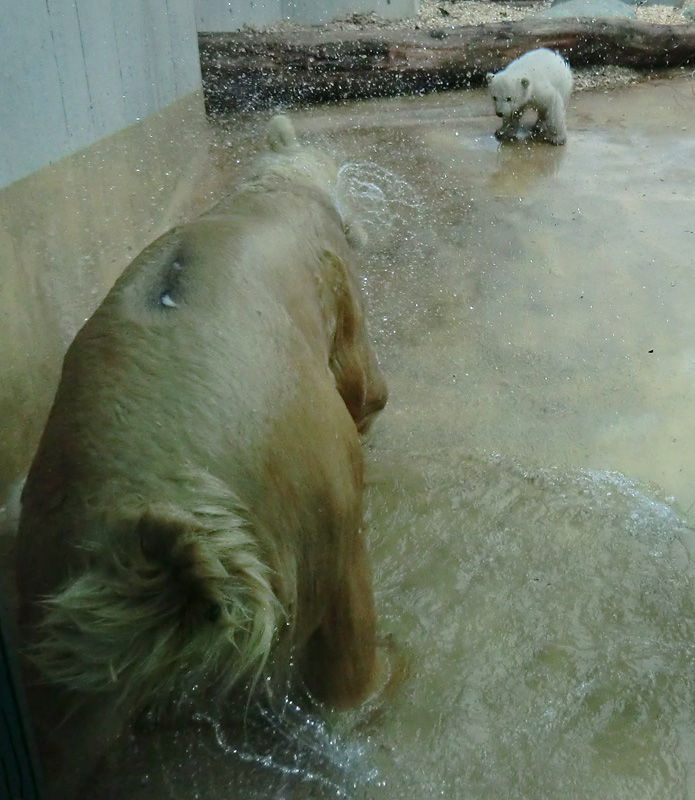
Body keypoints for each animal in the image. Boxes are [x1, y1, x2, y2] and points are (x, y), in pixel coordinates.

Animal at [16, 115, 388, 796]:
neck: (271, 195)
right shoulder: (330, 282)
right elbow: (359, 375)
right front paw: (371, 405)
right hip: (304, 476)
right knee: (345, 604)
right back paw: (367, 696)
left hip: (56, 576)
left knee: (69, 726)